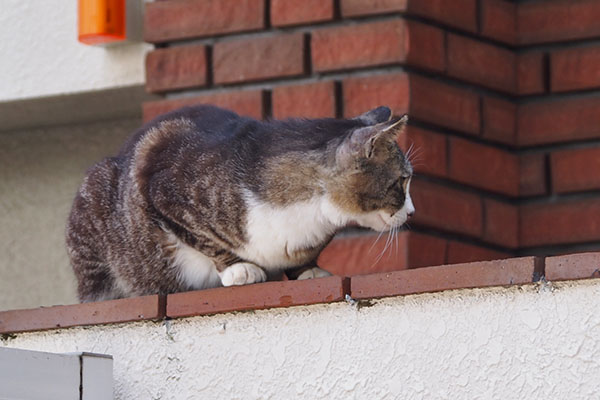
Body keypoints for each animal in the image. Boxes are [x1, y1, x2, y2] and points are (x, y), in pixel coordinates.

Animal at [65, 104, 412, 302]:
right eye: (402, 181)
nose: (411, 212)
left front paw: (308, 270)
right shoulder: (163, 187)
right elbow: (203, 238)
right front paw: (238, 268)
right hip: (95, 200)